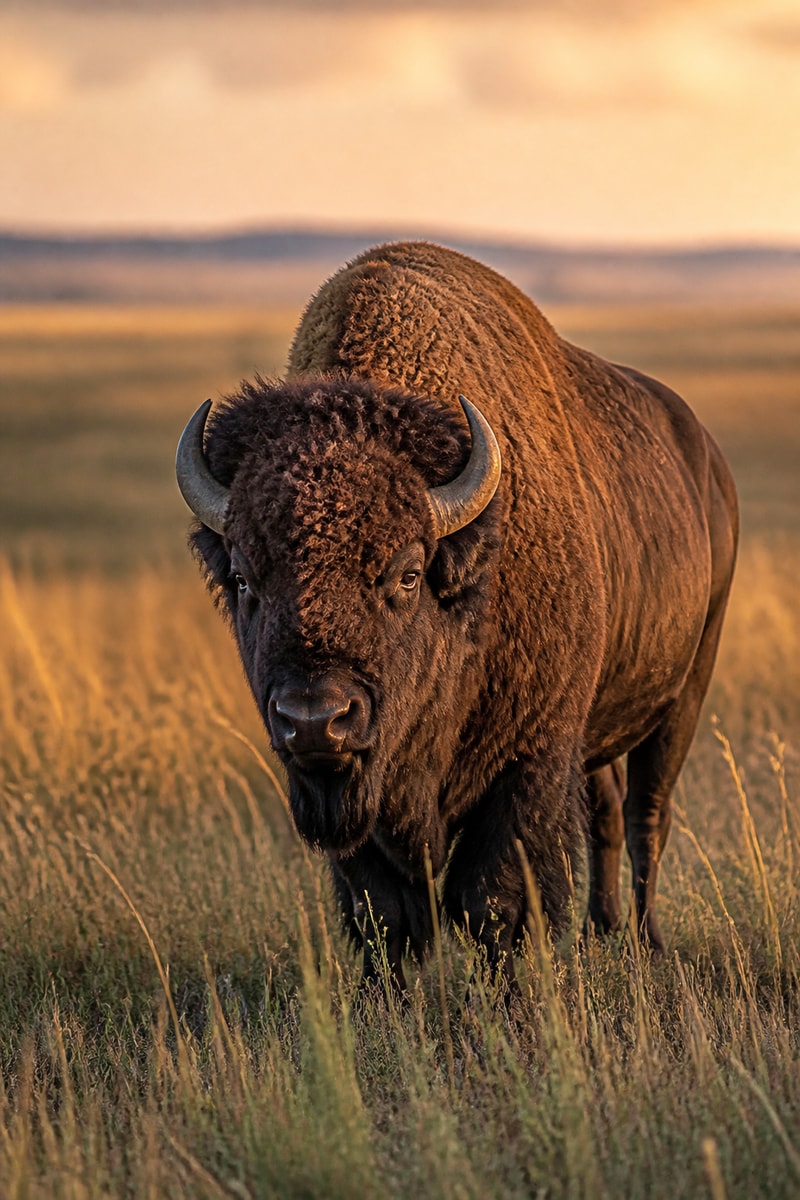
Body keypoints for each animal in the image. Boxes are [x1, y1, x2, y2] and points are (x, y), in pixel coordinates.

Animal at [176, 241, 738, 993]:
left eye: (407, 574)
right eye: (243, 578)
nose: (315, 719)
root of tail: (707, 459)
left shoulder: (529, 758)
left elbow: (493, 901)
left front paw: (512, 1001)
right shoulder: (361, 797)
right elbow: (385, 913)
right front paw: (387, 1003)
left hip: (685, 690)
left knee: (647, 814)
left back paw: (646, 945)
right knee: (607, 812)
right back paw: (603, 932)